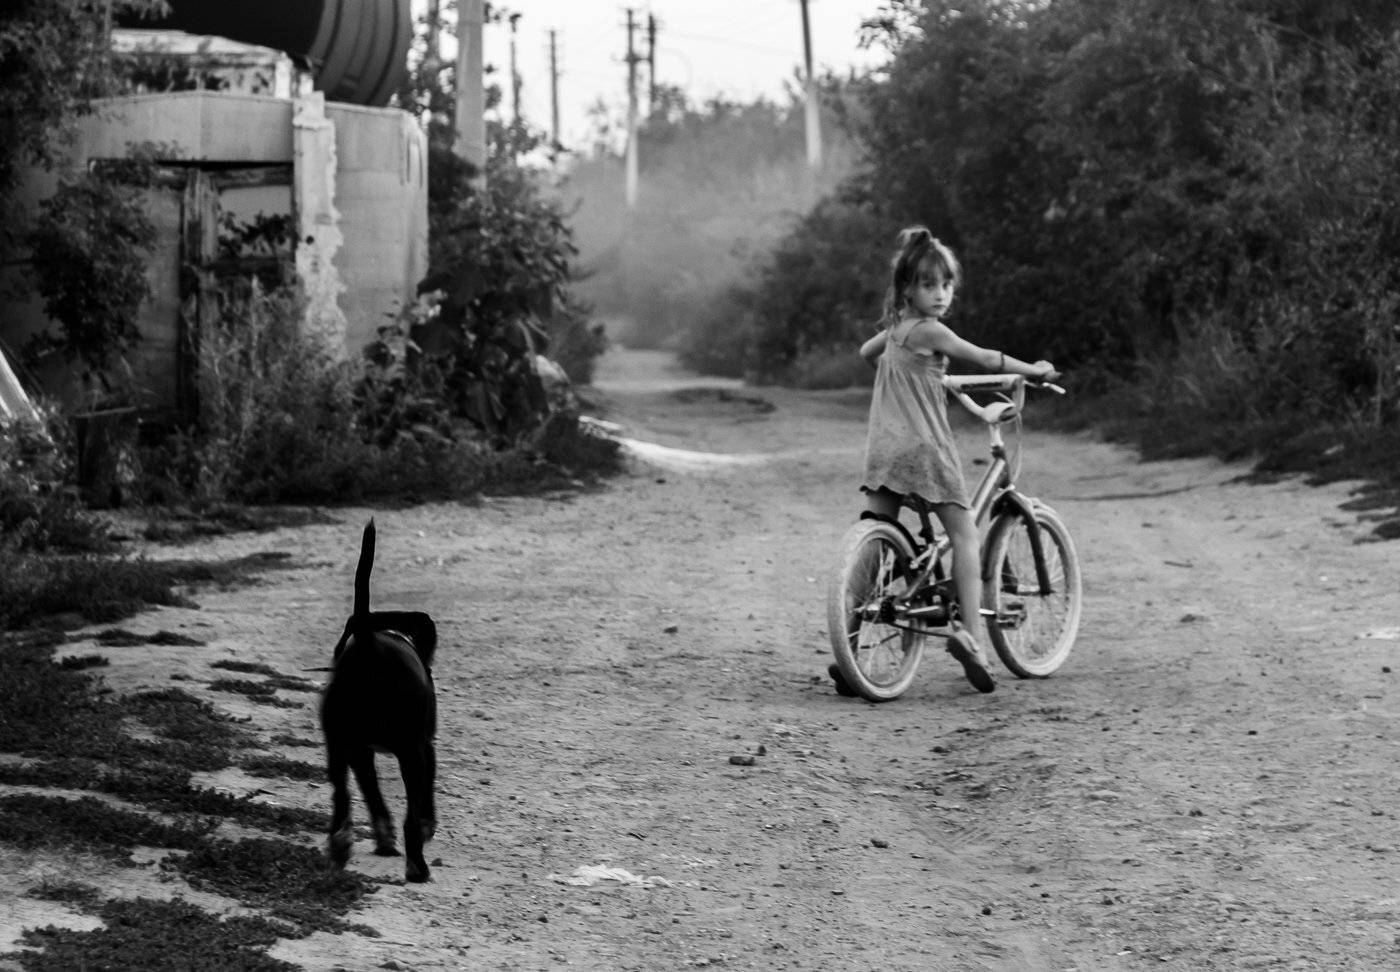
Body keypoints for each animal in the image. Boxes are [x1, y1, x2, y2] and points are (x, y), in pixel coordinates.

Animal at [320, 519, 439, 882]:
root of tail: (369, 642)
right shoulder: (425, 746)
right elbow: (423, 801)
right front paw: (427, 826)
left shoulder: (359, 752)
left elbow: (372, 794)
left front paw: (383, 838)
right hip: (411, 752)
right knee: (410, 816)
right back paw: (417, 867)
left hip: (337, 744)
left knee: (341, 796)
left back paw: (339, 849)